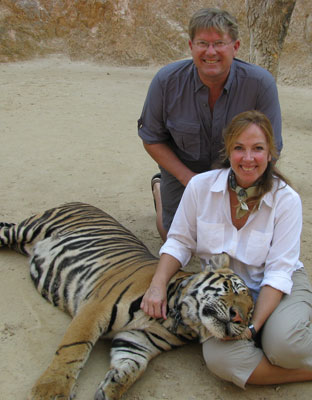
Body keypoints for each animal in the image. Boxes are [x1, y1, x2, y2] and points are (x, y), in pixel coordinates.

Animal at [0, 203, 254, 400]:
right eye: (230, 288)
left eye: (250, 313)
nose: (238, 317)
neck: (181, 321)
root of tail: (77, 202)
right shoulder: (94, 309)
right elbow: (73, 349)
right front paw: (51, 390)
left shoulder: (138, 341)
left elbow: (133, 368)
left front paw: (111, 386)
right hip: (28, 230)